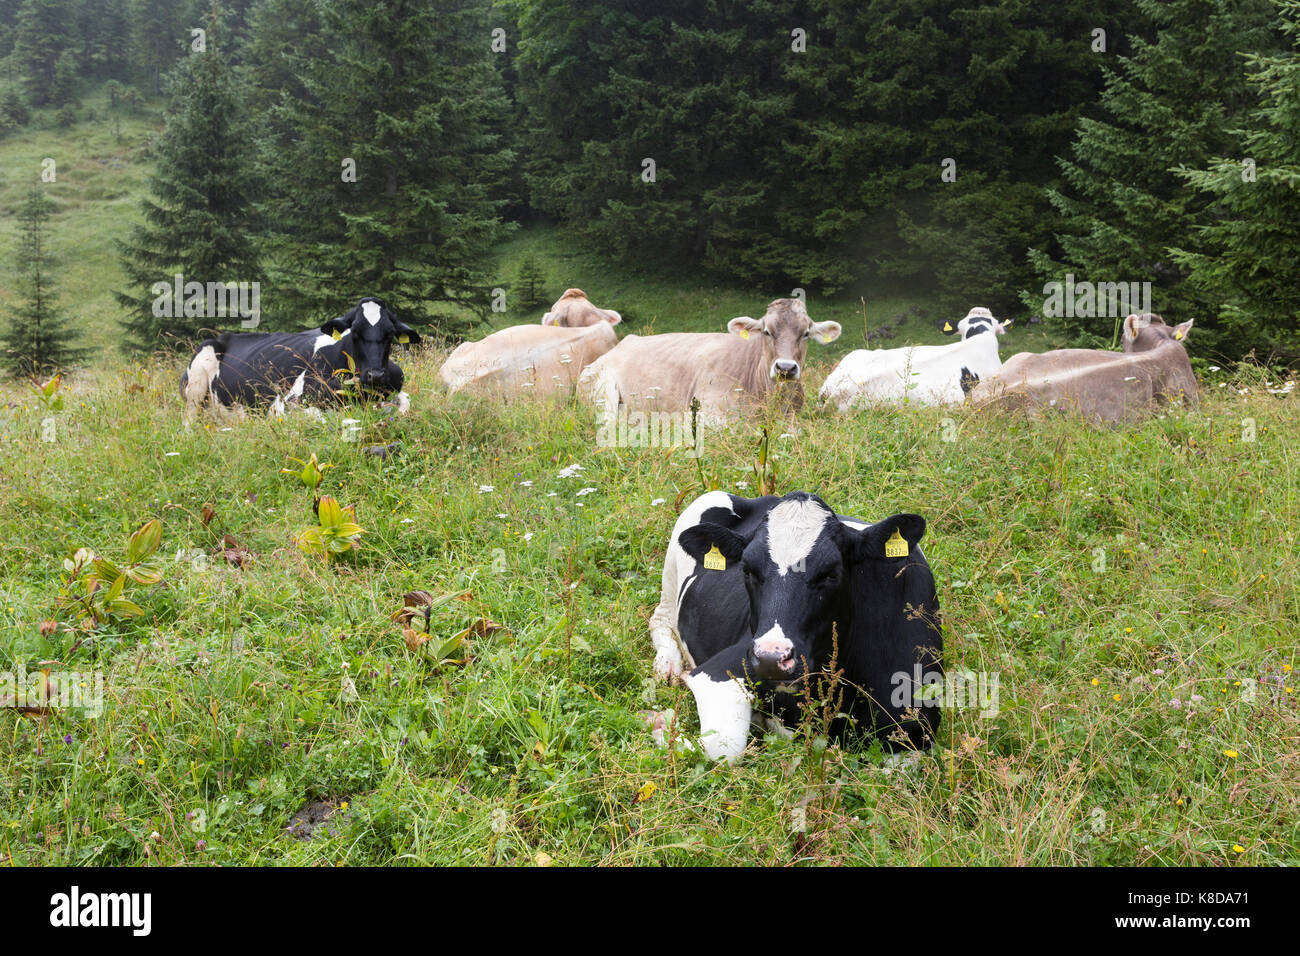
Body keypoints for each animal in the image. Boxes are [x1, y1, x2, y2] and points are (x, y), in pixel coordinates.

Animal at [179, 297, 420, 419]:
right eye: (355, 332)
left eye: (390, 334)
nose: (375, 375)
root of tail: (225, 336)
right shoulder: (286, 404)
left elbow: (405, 402)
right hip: (196, 383)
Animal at [648, 490, 943, 763]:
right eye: (747, 570)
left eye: (831, 573)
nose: (771, 658)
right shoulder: (718, 670)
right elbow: (724, 747)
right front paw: (661, 725)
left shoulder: (916, 730)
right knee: (660, 618)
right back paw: (668, 665)